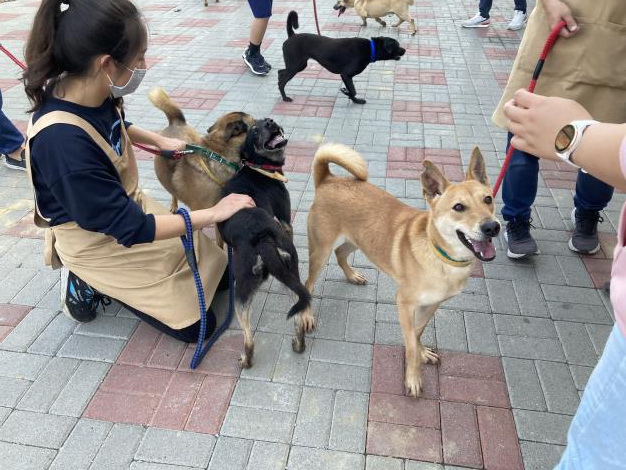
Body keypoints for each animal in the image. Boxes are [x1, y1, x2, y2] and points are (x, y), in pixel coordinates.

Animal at [216, 116, 310, 368]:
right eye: (255, 130)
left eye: (263, 123)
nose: (270, 121)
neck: (258, 167)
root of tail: (262, 237)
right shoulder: (286, 223)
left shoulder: (286, 220)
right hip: (289, 271)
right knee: (299, 312)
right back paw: (298, 344)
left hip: (242, 290)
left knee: (249, 339)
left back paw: (246, 361)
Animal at [302, 144, 498, 396]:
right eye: (459, 207)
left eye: (488, 199)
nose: (492, 227)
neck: (440, 257)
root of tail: (328, 179)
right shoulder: (404, 303)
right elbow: (411, 344)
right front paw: (413, 378)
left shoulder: (431, 304)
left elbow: (417, 333)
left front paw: (422, 353)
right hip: (320, 251)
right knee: (308, 284)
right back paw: (306, 315)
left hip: (359, 240)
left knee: (340, 253)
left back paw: (352, 275)